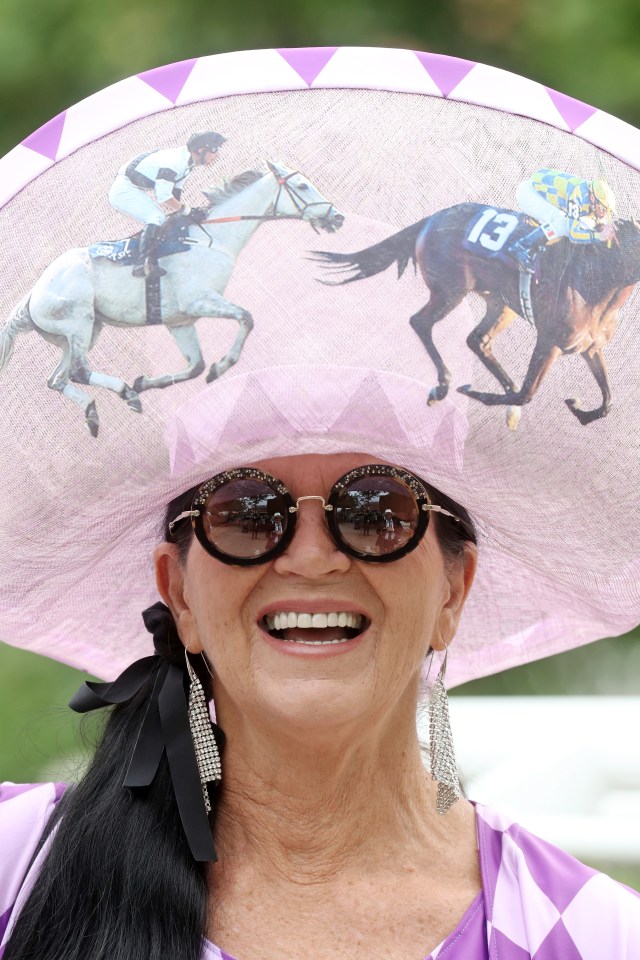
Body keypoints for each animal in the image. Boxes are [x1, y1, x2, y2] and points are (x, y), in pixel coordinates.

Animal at [1, 162, 344, 438]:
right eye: (302, 185)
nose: (337, 217)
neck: (210, 240)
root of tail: (32, 294)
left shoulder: (180, 321)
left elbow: (195, 366)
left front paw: (148, 382)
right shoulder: (199, 302)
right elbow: (245, 318)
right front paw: (222, 366)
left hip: (78, 334)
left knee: (58, 379)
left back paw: (102, 407)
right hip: (79, 326)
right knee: (75, 372)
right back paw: (121, 396)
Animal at [316, 204, 640, 430]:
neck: (597, 283)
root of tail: (431, 219)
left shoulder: (590, 347)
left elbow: (607, 402)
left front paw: (578, 407)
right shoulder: (550, 341)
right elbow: (526, 394)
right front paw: (476, 393)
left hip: (501, 304)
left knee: (478, 340)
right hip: (451, 289)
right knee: (422, 322)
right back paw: (443, 386)